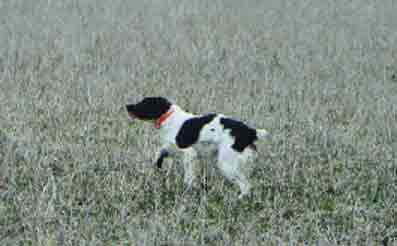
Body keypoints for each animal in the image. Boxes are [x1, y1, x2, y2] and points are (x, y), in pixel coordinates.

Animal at [125, 96, 270, 198]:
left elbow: (188, 177)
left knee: (246, 186)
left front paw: (188, 189)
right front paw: (158, 166)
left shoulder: (189, 154)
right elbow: (159, 153)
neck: (169, 117)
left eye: (144, 103)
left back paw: (238, 199)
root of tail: (249, 131)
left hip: (226, 164)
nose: (127, 106)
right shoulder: (170, 147)